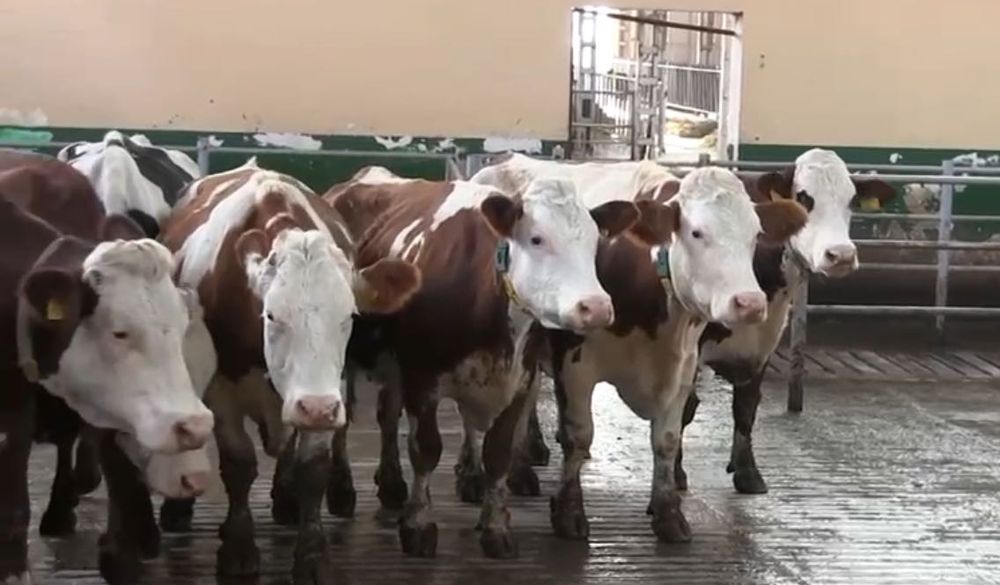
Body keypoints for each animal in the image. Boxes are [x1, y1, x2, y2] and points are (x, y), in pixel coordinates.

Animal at [159, 158, 421, 583]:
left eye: (349, 316)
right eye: (271, 315)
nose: (316, 407)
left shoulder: (324, 393)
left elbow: (312, 468)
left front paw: (313, 557)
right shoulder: (221, 392)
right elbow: (238, 465)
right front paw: (238, 550)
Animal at [319, 165, 650, 559]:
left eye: (594, 243)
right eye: (537, 239)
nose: (596, 307)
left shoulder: (520, 380)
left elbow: (498, 453)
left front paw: (495, 527)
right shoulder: (422, 378)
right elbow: (426, 450)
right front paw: (419, 525)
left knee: (386, 416)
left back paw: (391, 483)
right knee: (344, 422)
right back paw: (341, 491)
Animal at [468, 154, 808, 543]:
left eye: (755, 235)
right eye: (697, 232)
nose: (749, 303)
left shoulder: (685, 366)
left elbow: (668, 439)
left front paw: (668, 513)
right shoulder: (574, 364)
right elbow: (579, 436)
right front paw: (569, 513)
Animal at [684, 148, 897, 494]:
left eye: (851, 199)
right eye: (802, 197)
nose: (841, 255)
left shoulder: (763, 344)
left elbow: (746, 408)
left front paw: (748, 474)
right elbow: (683, 409)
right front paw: (676, 478)